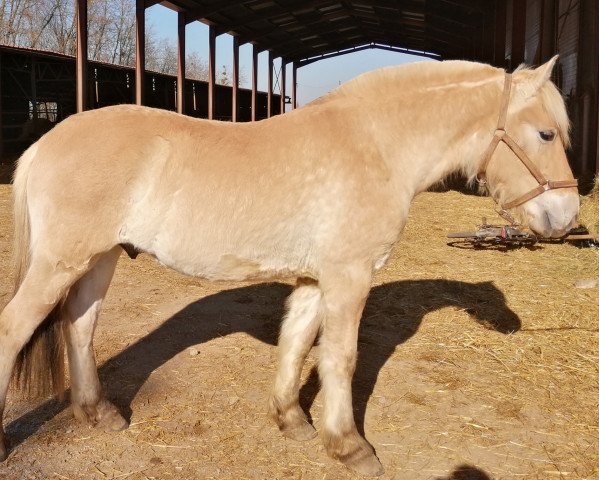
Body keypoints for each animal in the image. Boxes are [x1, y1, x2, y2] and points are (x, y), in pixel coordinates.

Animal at [0, 57, 580, 476]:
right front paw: (349, 446)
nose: (567, 216)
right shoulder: (349, 276)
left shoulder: (313, 279)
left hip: (98, 259)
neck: (376, 146)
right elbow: (340, 358)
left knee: (80, 327)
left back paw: (99, 413)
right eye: (546, 134)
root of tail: (45, 142)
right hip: (60, 264)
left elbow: (297, 343)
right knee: (14, 330)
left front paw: (291, 420)